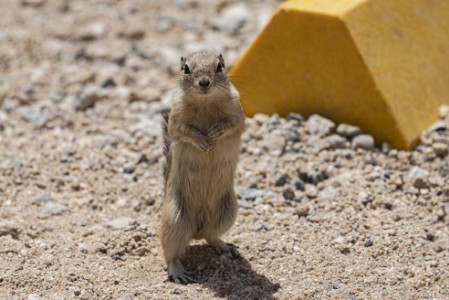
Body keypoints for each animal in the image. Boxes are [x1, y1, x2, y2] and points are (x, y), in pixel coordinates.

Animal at [159, 51, 245, 284]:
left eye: (220, 66)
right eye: (186, 68)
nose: (204, 82)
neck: (205, 101)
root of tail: (195, 230)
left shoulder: (237, 111)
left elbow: (235, 124)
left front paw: (216, 132)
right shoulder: (176, 118)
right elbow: (183, 131)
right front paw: (203, 141)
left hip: (229, 212)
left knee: (211, 236)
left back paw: (225, 247)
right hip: (175, 220)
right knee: (171, 254)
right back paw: (178, 272)